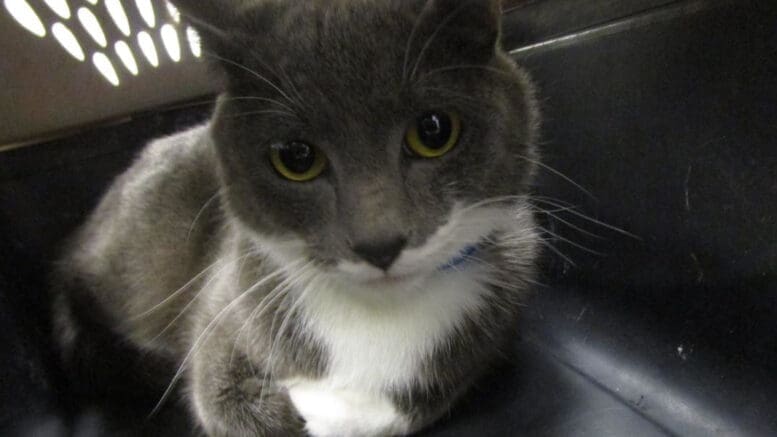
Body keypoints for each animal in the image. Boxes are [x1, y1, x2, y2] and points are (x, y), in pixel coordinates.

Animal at [53, 0, 540, 434]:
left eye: (433, 131)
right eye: (297, 157)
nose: (379, 244)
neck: (378, 310)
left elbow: (423, 400)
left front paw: (331, 411)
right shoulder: (224, 297)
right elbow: (209, 380)